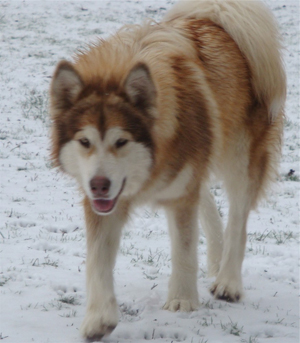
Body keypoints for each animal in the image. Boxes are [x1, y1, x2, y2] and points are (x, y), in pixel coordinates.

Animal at [49, 0, 286, 342]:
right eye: (84, 142)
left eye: (121, 141)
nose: (99, 185)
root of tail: (214, 15)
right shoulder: (103, 205)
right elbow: (96, 261)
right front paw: (99, 319)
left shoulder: (180, 195)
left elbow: (184, 249)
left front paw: (182, 300)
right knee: (208, 200)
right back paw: (215, 259)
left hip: (240, 158)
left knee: (238, 220)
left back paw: (227, 280)